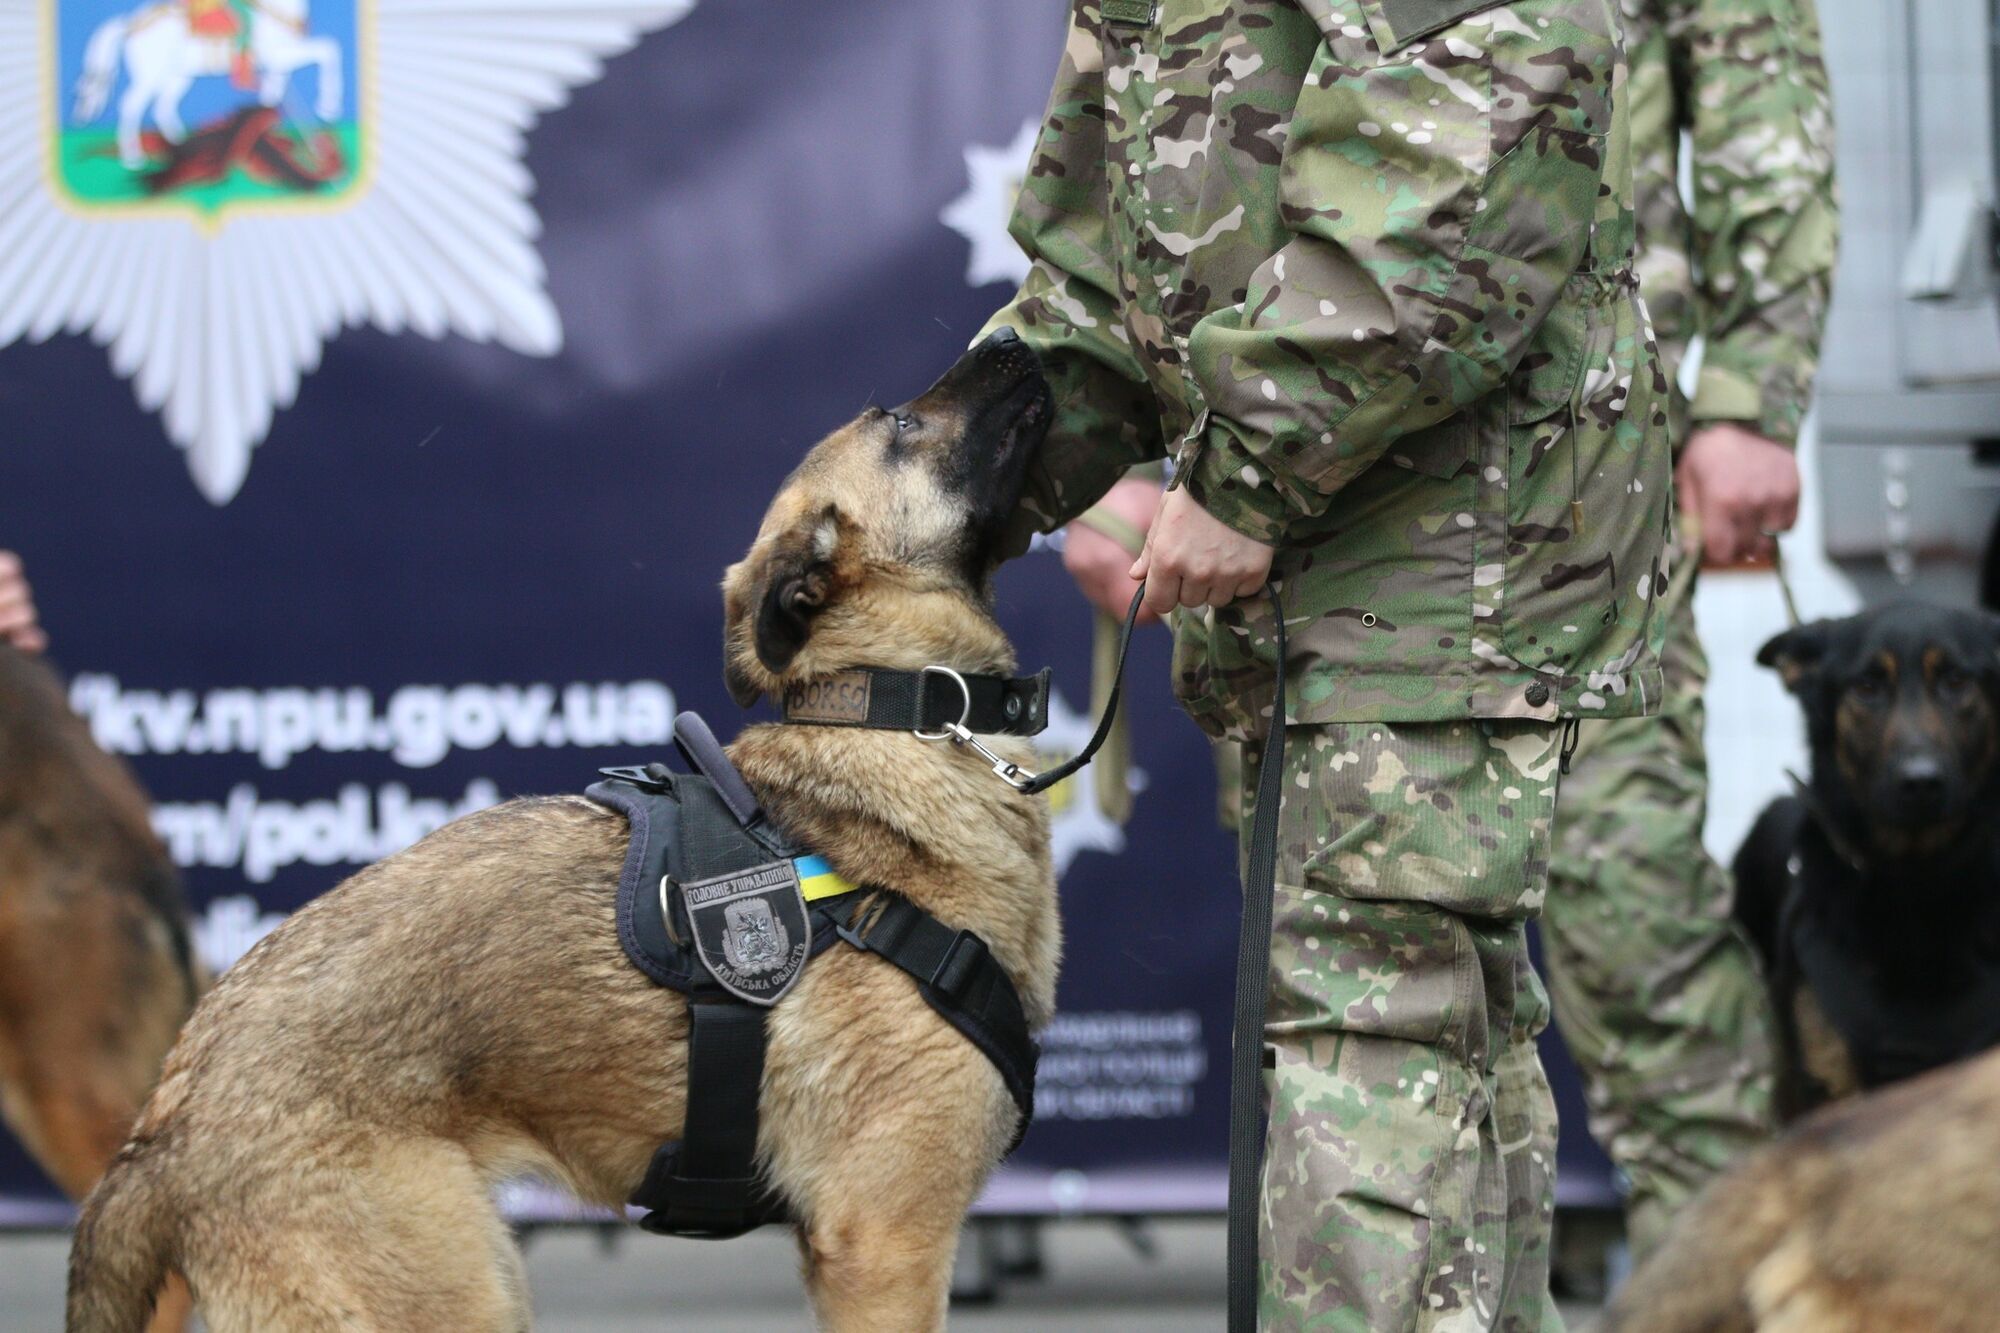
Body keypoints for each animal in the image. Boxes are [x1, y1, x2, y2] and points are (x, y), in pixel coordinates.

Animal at [66, 326, 1064, 1320]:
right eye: (899, 422)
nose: (1017, 336)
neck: (895, 710)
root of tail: (160, 1135)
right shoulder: (886, 1244)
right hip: (459, 1293)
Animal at [72, 0, 342, 171]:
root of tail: (132, 24)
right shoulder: (279, 55)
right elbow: (328, 51)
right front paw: (328, 106)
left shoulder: (276, 62)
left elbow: (275, 94)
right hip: (150, 78)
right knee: (131, 106)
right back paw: (133, 157)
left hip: (176, 78)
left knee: (162, 108)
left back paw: (183, 146)